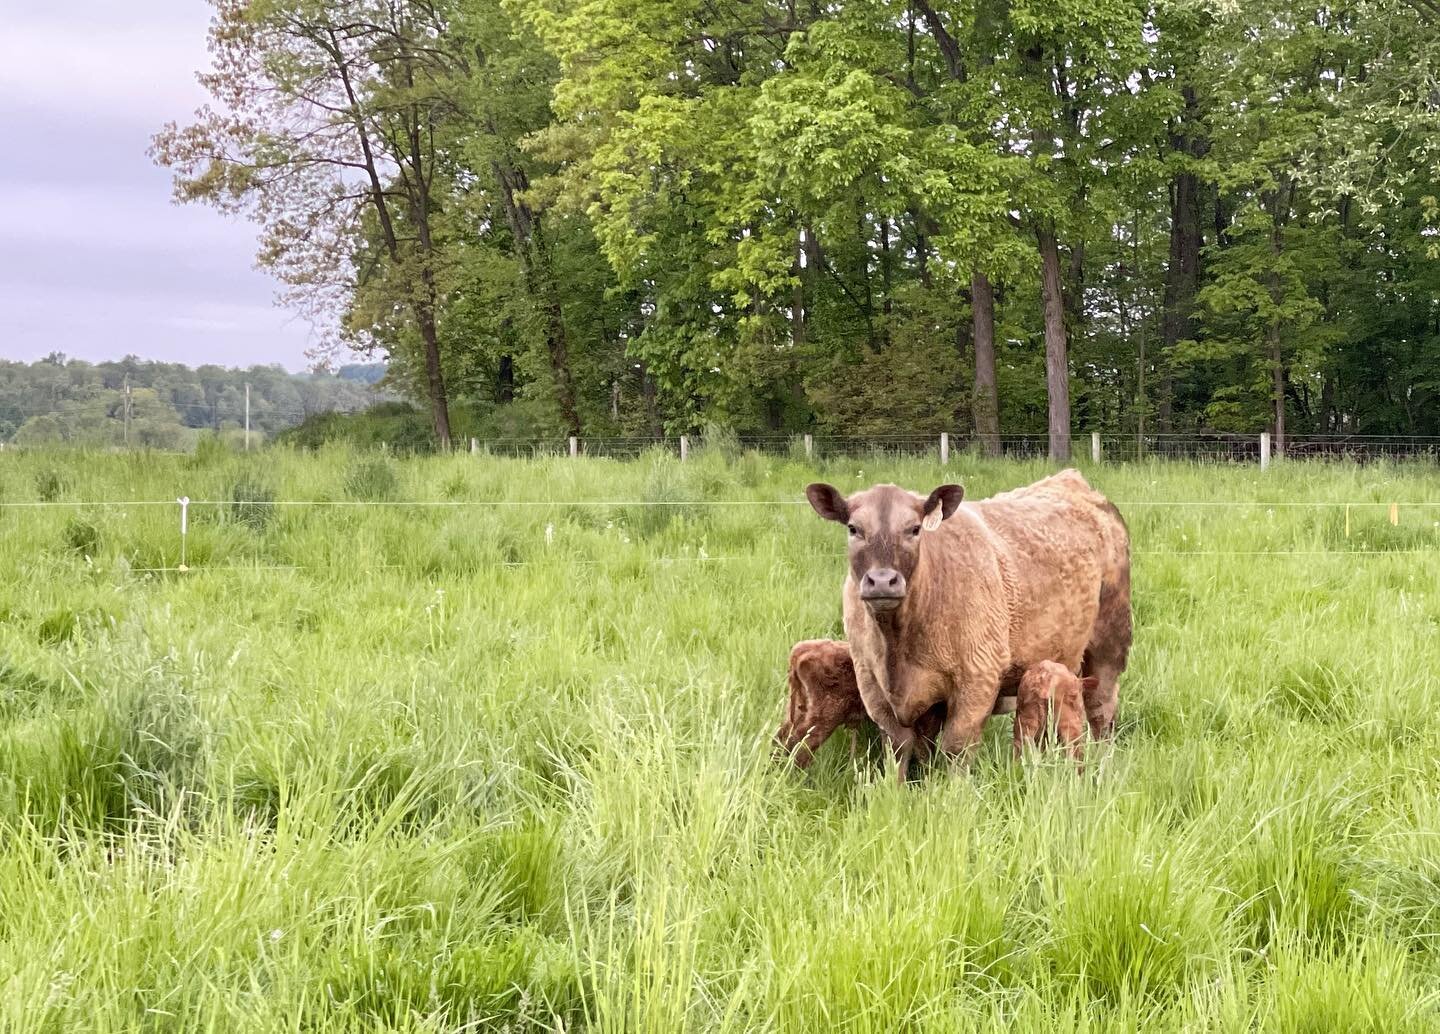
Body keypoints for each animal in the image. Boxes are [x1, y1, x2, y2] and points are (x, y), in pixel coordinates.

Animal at [806, 472, 1128, 783]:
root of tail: (1072, 480)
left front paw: (954, 792)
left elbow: (955, 748)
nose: (883, 581)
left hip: (1109, 642)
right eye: (853, 529)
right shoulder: (870, 683)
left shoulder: (978, 678)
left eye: (914, 529)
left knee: (1101, 711)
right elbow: (900, 748)